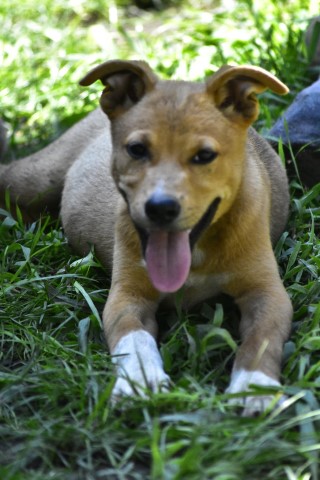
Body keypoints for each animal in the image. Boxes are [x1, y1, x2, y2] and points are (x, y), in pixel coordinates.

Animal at [0, 60, 292, 414]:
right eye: (137, 150)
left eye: (205, 155)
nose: (160, 208)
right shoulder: (128, 294)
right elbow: (134, 337)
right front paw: (140, 377)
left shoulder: (267, 291)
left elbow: (262, 337)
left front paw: (254, 386)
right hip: (35, 178)